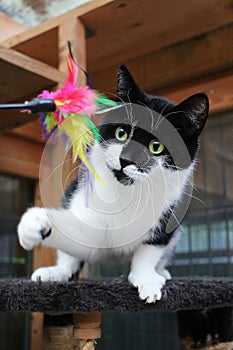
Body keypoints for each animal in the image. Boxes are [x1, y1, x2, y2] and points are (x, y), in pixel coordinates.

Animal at [16, 65, 209, 304]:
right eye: (121, 133)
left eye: (156, 146)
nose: (126, 160)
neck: (128, 193)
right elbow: (80, 236)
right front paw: (33, 223)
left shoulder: (169, 214)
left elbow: (150, 251)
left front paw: (147, 279)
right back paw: (55, 272)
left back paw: (161, 272)